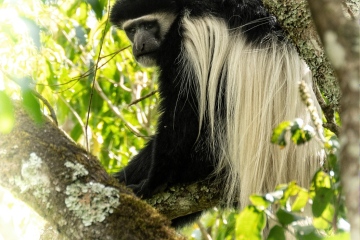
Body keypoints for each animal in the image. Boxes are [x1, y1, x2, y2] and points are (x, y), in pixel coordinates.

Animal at [110, 0, 324, 225]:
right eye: (132, 30)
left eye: (149, 25)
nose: (139, 45)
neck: (179, 10)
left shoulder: (185, 41)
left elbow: (183, 113)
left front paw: (154, 183)